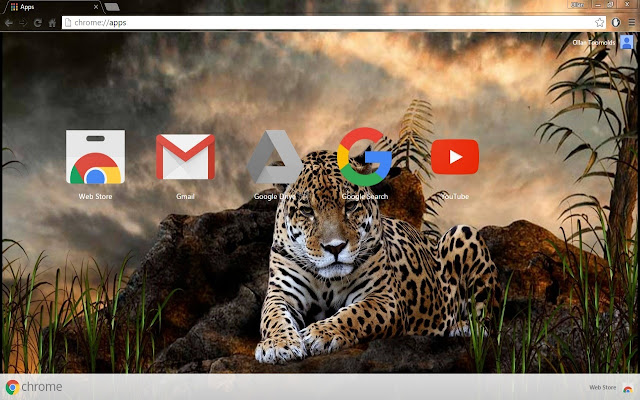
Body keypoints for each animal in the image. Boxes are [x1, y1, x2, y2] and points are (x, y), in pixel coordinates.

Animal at [255, 149, 501, 364]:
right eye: (307, 210)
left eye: (350, 205)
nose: (335, 247)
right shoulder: (281, 293)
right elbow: (273, 317)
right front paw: (278, 345)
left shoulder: (384, 298)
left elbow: (355, 314)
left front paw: (321, 333)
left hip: (463, 233)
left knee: (488, 319)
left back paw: (463, 327)